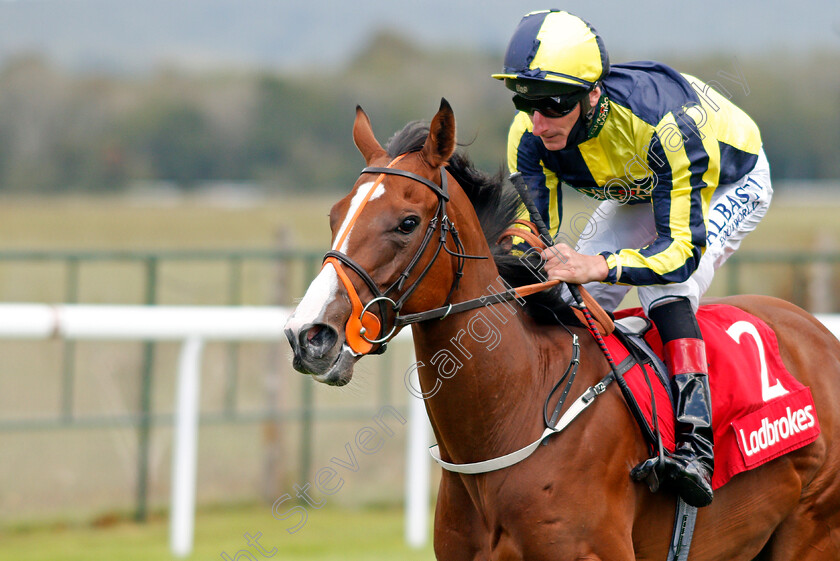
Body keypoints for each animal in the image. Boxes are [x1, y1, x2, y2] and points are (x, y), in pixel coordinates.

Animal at [284, 98, 840, 556]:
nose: (309, 334)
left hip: (812, 532)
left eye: (406, 222)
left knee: (672, 294)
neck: (518, 407)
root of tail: (818, 334)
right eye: (335, 215)